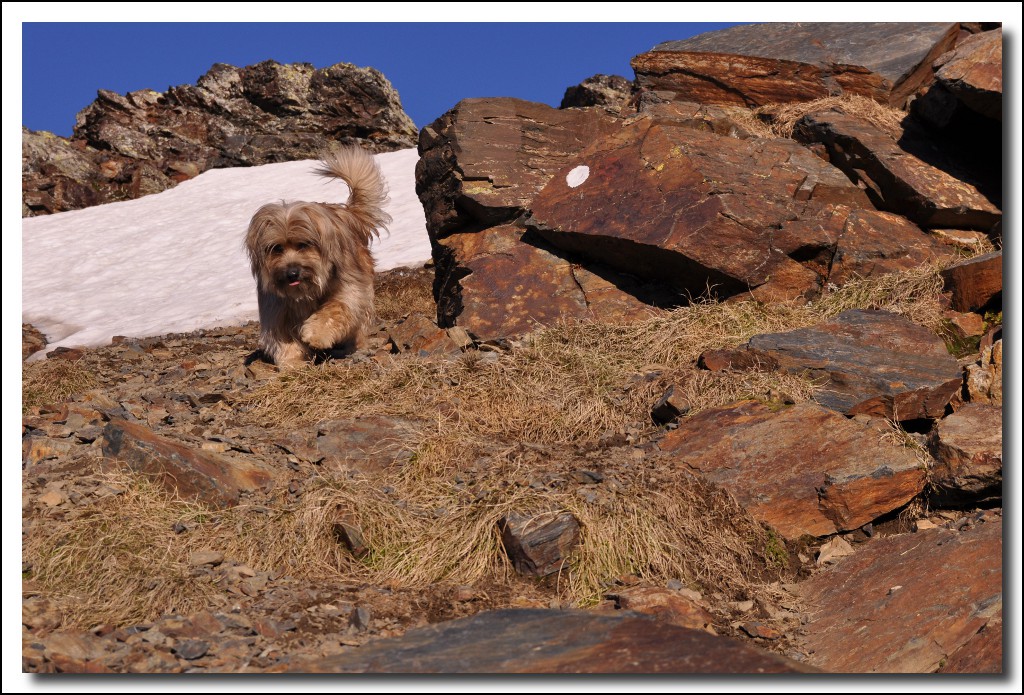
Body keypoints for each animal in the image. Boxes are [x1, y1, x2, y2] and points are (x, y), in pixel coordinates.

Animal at [246, 148, 391, 370]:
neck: (305, 292)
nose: (292, 273)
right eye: (277, 248)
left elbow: (336, 309)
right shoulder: (276, 308)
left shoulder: (348, 289)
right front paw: (292, 362)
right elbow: (283, 336)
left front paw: (316, 335)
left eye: (303, 245)